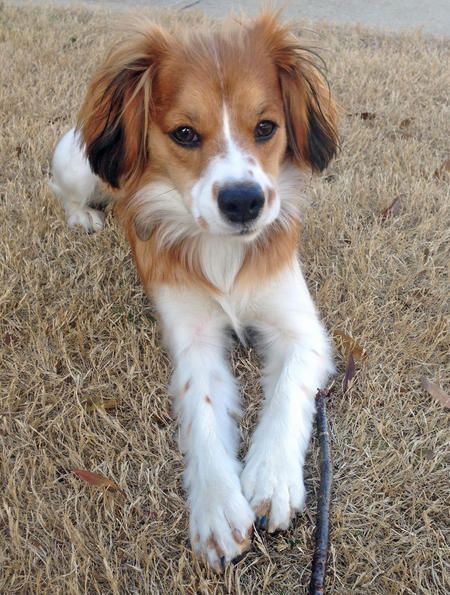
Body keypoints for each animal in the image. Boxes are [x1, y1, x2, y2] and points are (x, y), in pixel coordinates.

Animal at [50, 11, 338, 572]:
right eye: (184, 133)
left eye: (266, 127)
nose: (244, 201)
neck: (223, 251)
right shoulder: (194, 336)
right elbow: (201, 409)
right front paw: (219, 506)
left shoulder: (303, 330)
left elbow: (289, 390)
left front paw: (272, 477)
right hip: (76, 162)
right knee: (71, 192)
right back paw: (83, 218)